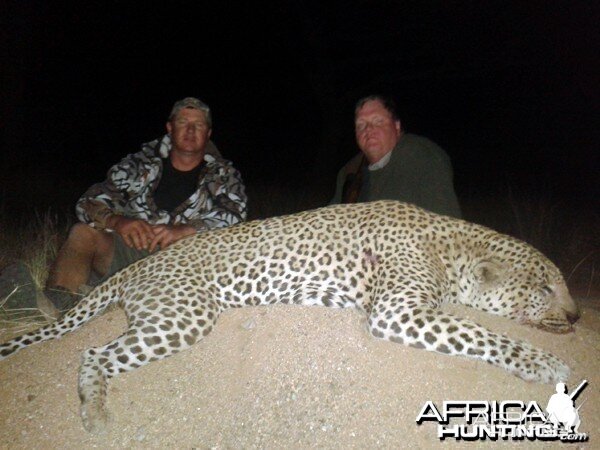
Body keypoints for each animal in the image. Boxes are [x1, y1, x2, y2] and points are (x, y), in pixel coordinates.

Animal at [1, 201, 580, 432]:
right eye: (545, 286)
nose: (577, 315)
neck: (452, 248)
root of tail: (141, 263)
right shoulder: (399, 310)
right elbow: (480, 333)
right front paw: (544, 364)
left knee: (94, 351)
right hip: (184, 314)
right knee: (93, 351)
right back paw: (95, 413)